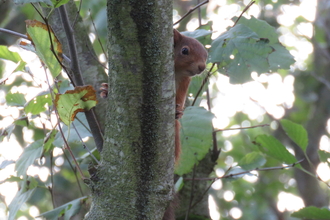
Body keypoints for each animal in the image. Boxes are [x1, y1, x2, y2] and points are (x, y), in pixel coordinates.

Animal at [100, 28, 209, 163]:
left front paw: (177, 111)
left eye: (206, 56)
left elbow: (180, 98)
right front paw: (107, 89)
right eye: (184, 50)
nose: (202, 67)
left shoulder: (184, 82)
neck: (177, 71)